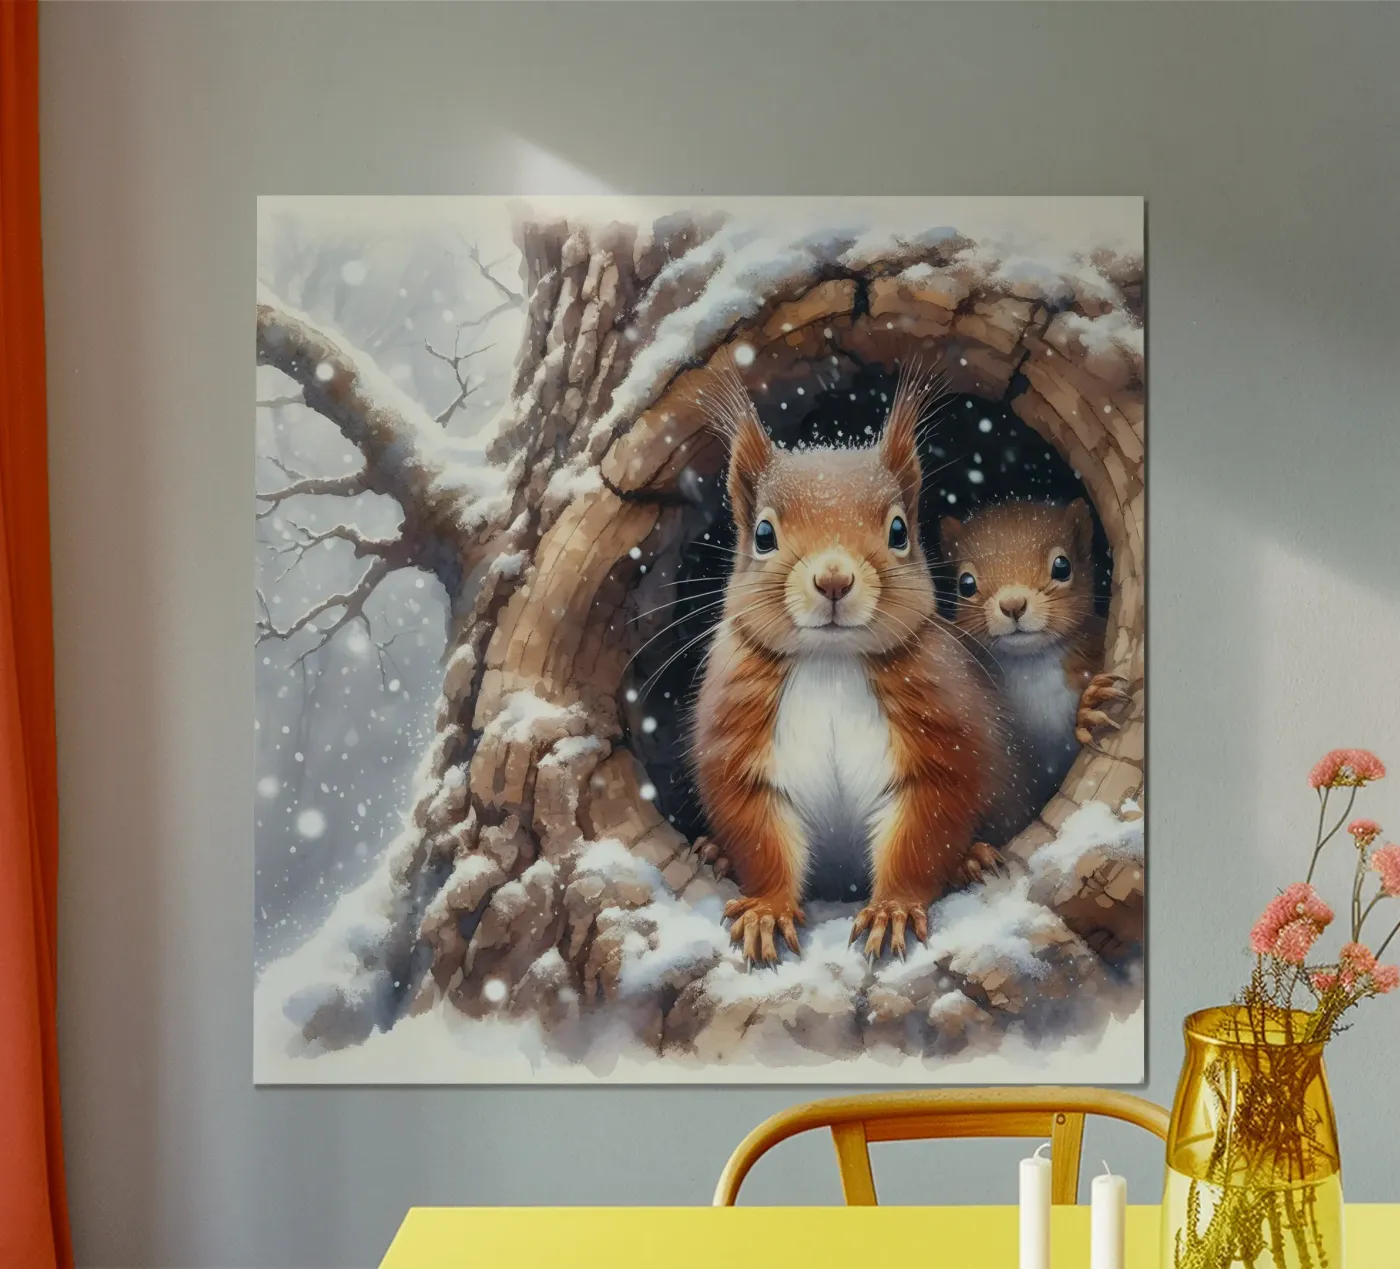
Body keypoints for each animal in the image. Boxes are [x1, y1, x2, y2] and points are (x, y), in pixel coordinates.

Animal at [691, 362, 1007, 965]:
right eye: (763, 534)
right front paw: (766, 911)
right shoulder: (738, 741)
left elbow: (925, 829)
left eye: (899, 530)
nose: (834, 578)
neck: (830, 663)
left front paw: (893, 910)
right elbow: (759, 835)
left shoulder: (943, 735)